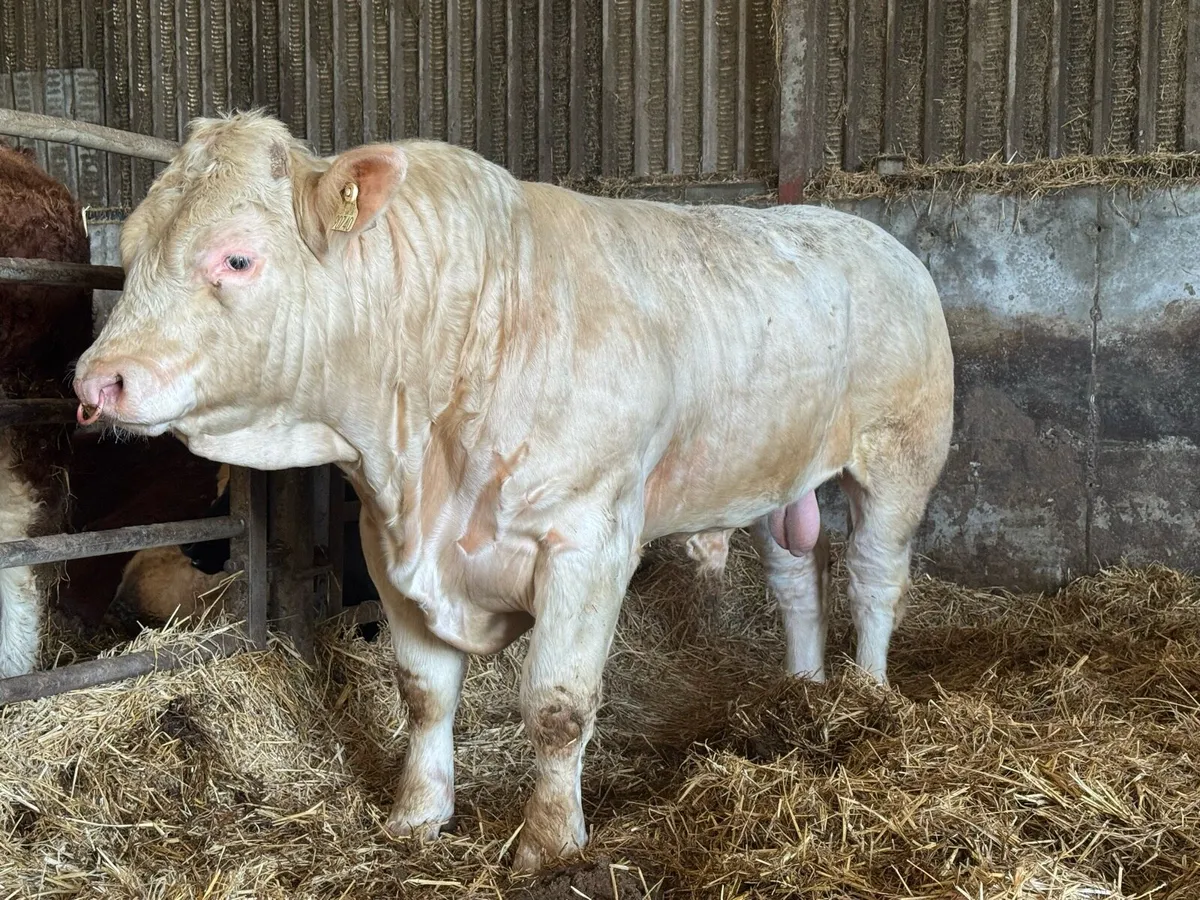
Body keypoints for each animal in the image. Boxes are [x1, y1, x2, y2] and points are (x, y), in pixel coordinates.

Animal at [72, 111, 955, 872]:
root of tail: (867, 232)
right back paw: (804, 688)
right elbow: (423, 694)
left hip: (901, 456)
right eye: (133, 249)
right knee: (797, 580)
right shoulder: (386, 547)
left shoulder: (589, 541)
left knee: (875, 578)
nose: (95, 381)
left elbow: (558, 707)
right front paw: (416, 816)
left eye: (237, 258)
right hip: (778, 473)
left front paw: (550, 844)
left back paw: (867, 694)